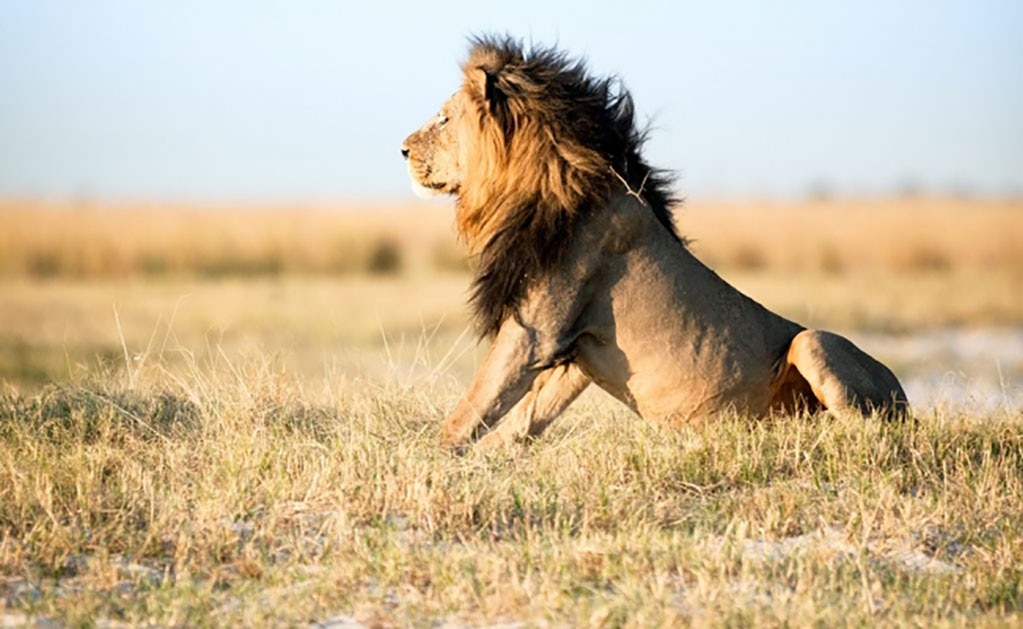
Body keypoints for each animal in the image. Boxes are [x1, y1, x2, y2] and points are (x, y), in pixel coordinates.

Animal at [401, 35, 909, 450]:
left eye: (444, 118)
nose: (402, 149)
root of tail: (904, 394)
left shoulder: (535, 329)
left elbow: (475, 403)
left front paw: (432, 460)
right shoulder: (574, 350)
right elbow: (525, 415)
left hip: (812, 342)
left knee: (867, 427)